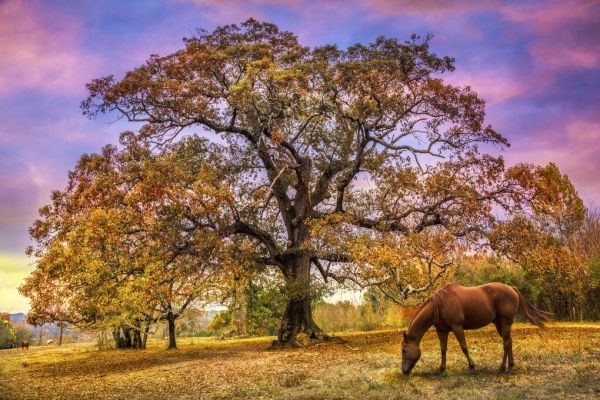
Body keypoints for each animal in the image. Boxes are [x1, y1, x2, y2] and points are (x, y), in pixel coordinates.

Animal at [404, 282, 548, 376]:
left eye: (403, 350)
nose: (404, 371)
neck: (440, 305)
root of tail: (511, 288)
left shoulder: (457, 327)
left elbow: (464, 347)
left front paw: (472, 366)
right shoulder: (442, 330)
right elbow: (443, 349)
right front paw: (442, 369)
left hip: (505, 322)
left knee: (506, 343)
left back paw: (502, 368)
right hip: (500, 324)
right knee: (509, 341)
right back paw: (510, 365)